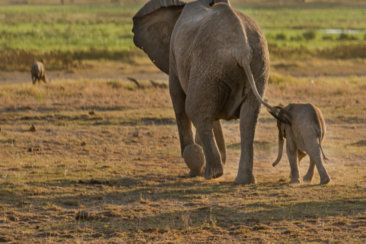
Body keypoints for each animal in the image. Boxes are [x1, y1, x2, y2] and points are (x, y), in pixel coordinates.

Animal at [132, 0, 278, 183]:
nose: (225, 157)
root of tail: (242, 50)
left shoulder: (174, 54)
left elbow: (178, 100)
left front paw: (194, 169)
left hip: (209, 67)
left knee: (195, 111)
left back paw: (212, 174)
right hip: (257, 65)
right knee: (248, 118)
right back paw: (242, 180)